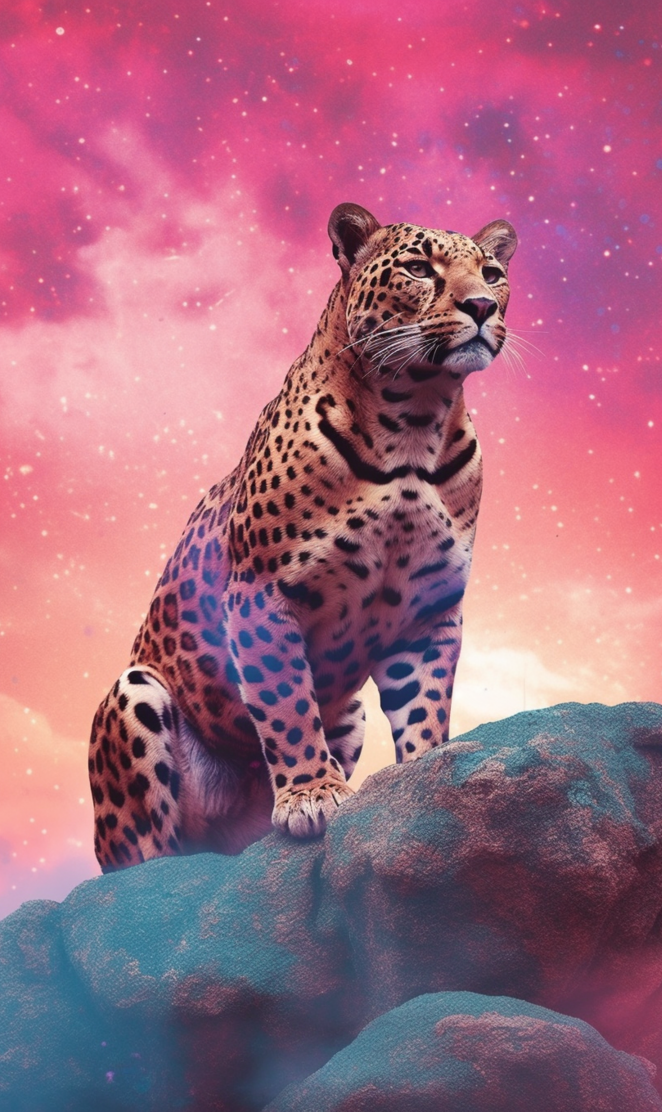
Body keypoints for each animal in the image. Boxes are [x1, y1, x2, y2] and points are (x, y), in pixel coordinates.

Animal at [88, 202, 517, 871]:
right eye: (420, 269)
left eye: (493, 274)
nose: (481, 307)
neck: (415, 420)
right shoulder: (262, 592)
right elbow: (287, 703)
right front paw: (313, 794)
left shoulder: (430, 607)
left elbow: (425, 704)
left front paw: (422, 781)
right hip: (133, 702)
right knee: (141, 861)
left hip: (351, 713)